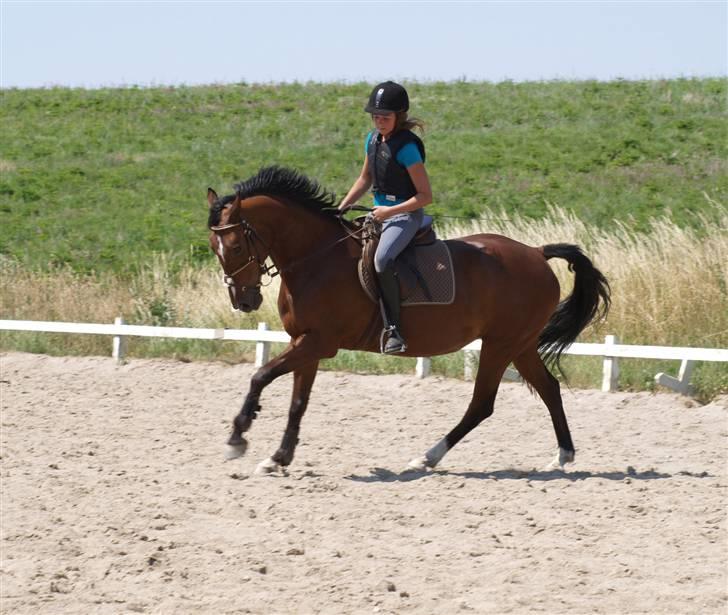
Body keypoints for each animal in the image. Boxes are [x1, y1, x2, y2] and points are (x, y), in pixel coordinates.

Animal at [206, 165, 608, 476]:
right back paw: (562, 457)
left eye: (237, 246)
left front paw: (237, 437)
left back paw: (426, 458)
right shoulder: (304, 343)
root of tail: (536, 253)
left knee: (482, 403)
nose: (244, 300)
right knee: (548, 389)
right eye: (214, 247)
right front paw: (278, 458)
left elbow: (260, 375)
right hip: (520, 345)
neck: (316, 259)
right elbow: (297, 402)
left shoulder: (318, 343)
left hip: (501, 344)